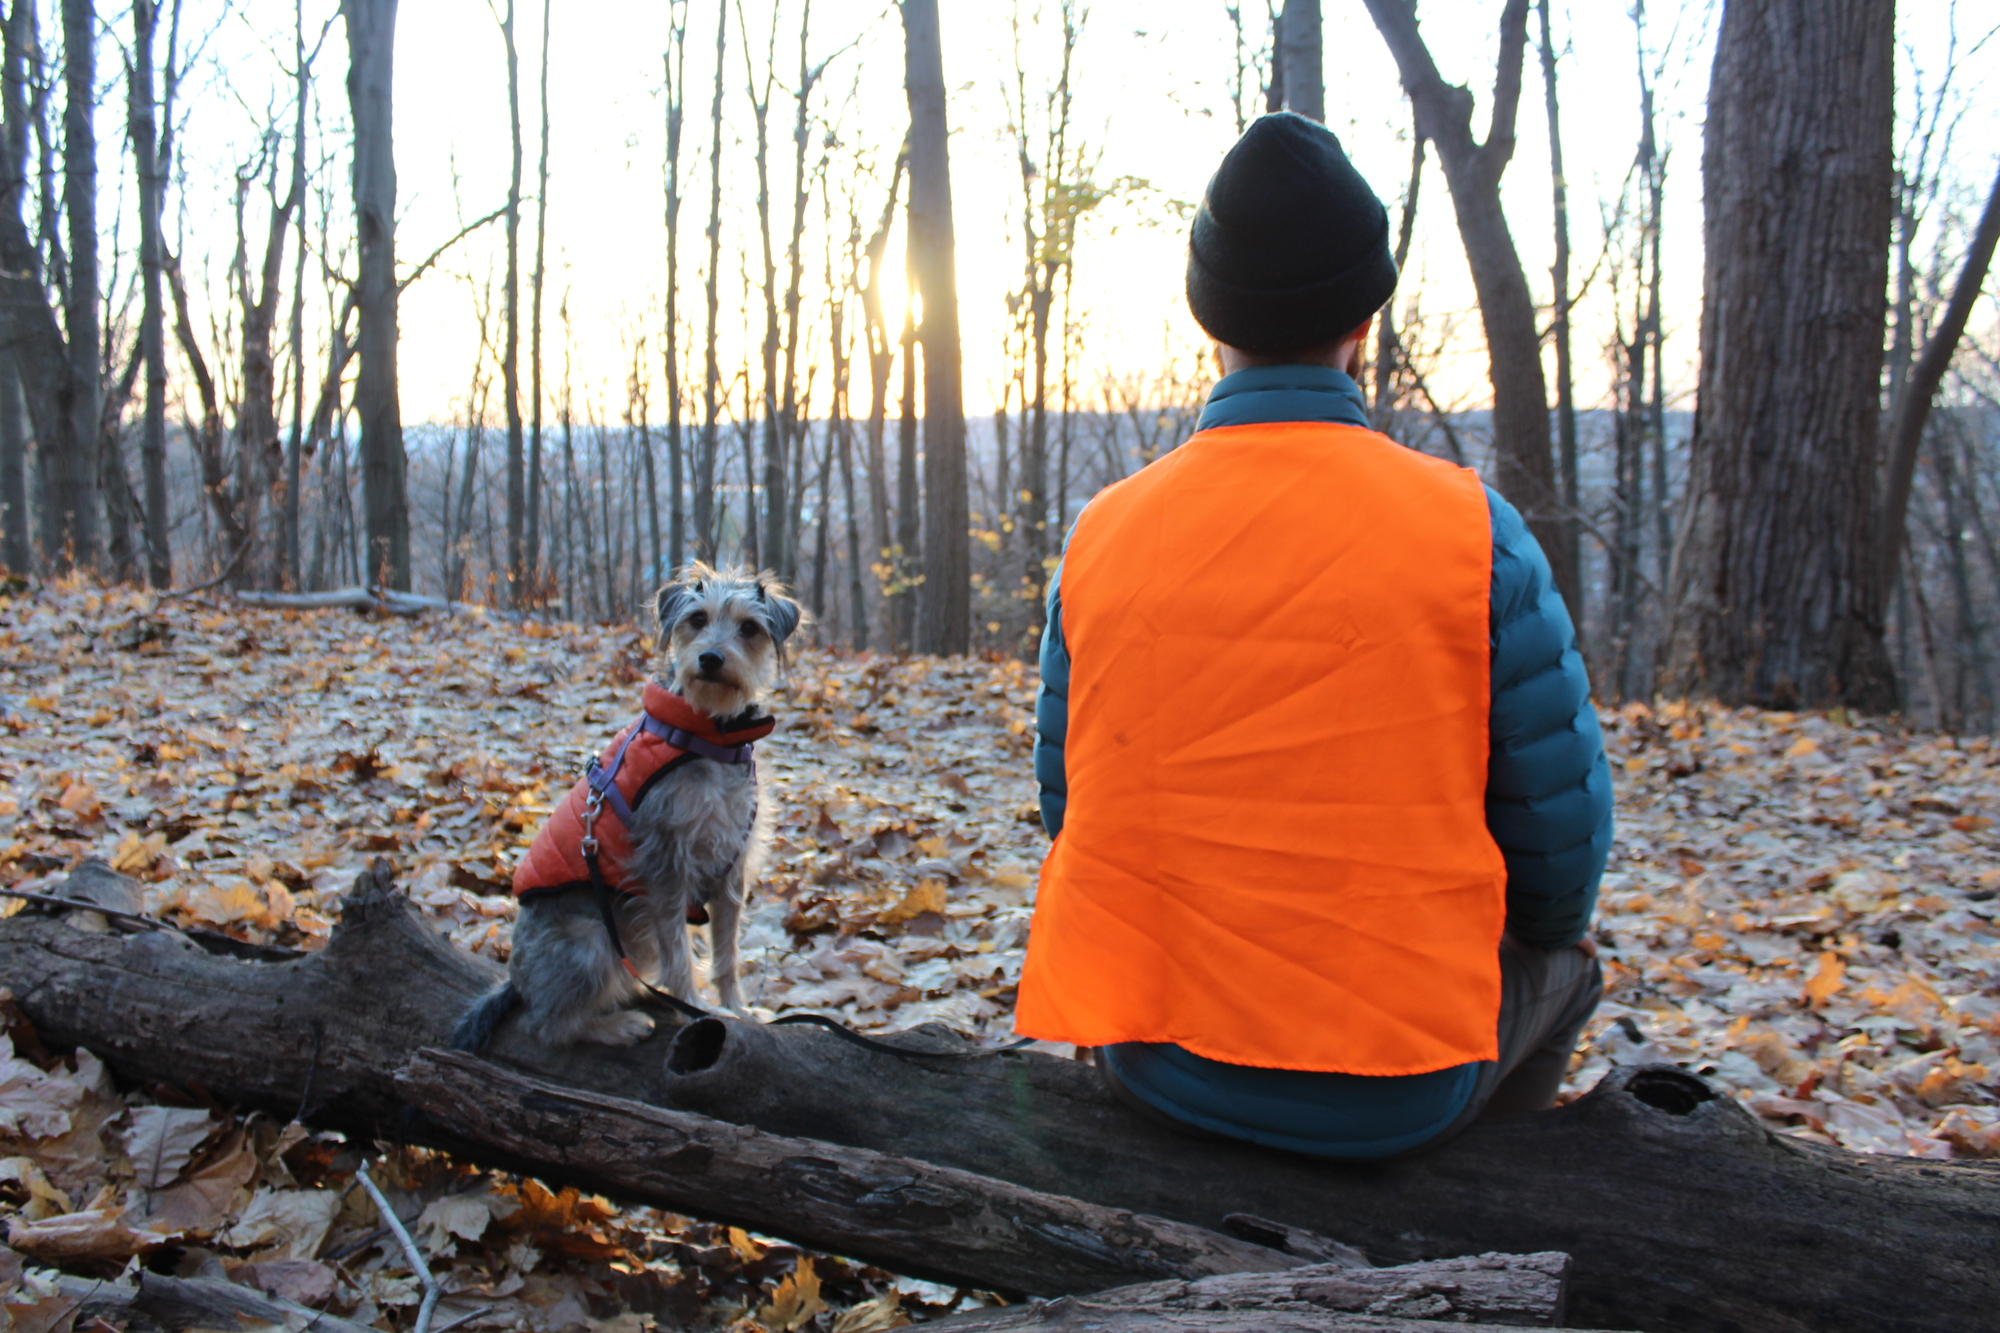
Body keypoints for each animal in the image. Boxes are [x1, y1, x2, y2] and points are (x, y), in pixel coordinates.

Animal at [454, 560, 796, 1048]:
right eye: (697, 619)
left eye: (749, 627)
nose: (711, 658)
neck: (710, 737)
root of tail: (517, 981)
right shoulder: (666, 868)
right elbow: (679, 954)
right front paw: (694, 1007)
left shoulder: (731, 870)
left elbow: (726, 953)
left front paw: (737, 1008)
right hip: (593, 937)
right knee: (547, 1025)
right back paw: (618, 1024)